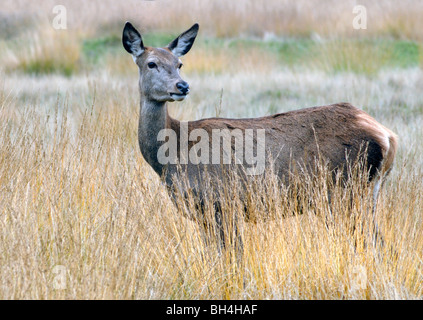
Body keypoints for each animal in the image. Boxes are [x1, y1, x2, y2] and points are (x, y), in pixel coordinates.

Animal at [121, 22, 398, 252]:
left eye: (179, 64)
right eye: (151, 63)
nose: (182, 86)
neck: (173, 157)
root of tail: (388, 136)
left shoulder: (221, 203)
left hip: (344, 191)